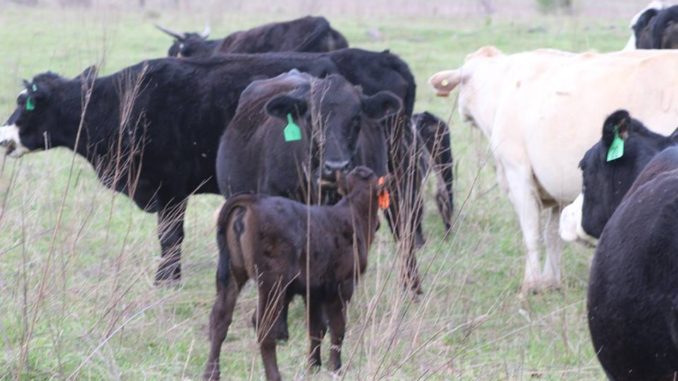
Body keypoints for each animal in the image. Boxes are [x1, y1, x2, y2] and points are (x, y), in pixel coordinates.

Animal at [203, 166, 388, 380]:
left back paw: (211, 373)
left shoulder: (314, 289)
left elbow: (317, 328)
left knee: (220, 319)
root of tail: (254, 200)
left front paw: (314, 366)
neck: (353, 213)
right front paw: (336, 368)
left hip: (232, 274)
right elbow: (338, 327)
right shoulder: (344, 284)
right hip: (272, 283)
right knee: (263, 325)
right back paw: (274, 375)